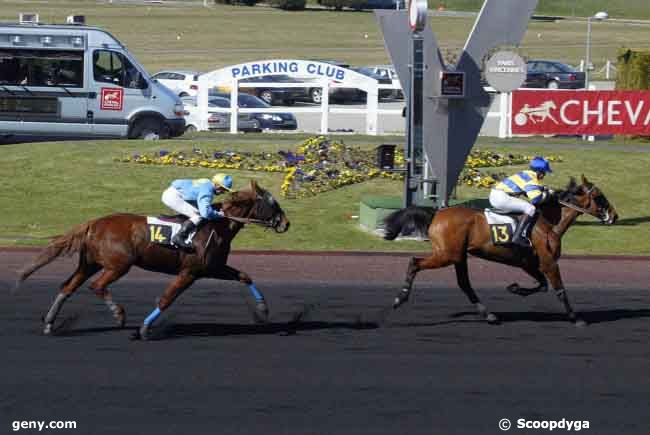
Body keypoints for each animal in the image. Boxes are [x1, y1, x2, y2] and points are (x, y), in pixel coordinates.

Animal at [14, 181, 288, 340]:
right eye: (272, 202)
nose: (286, 223)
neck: (218, 224)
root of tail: (94, 222)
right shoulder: (189, 272)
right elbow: (167, 299)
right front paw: (144, 329)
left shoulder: (212, 268)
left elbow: (244, 276)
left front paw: (263, 310)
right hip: (119, 264)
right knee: (97, 286)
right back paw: (119, 315)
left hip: (90, 263)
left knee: (67, 287)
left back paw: (50, 323)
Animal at [384, 175, 616, 326]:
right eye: (600, 196)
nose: (614, 216)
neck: (548, 222)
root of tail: (436, 213)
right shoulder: (548, 262)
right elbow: (559, 290)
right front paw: (576, 318)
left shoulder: (529, 263)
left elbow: (542, 286)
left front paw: (515, 288)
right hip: (446, 255)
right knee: (415, 262)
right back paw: (399, 298)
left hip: (458, 256)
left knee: (464, 284)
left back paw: (489, 315)